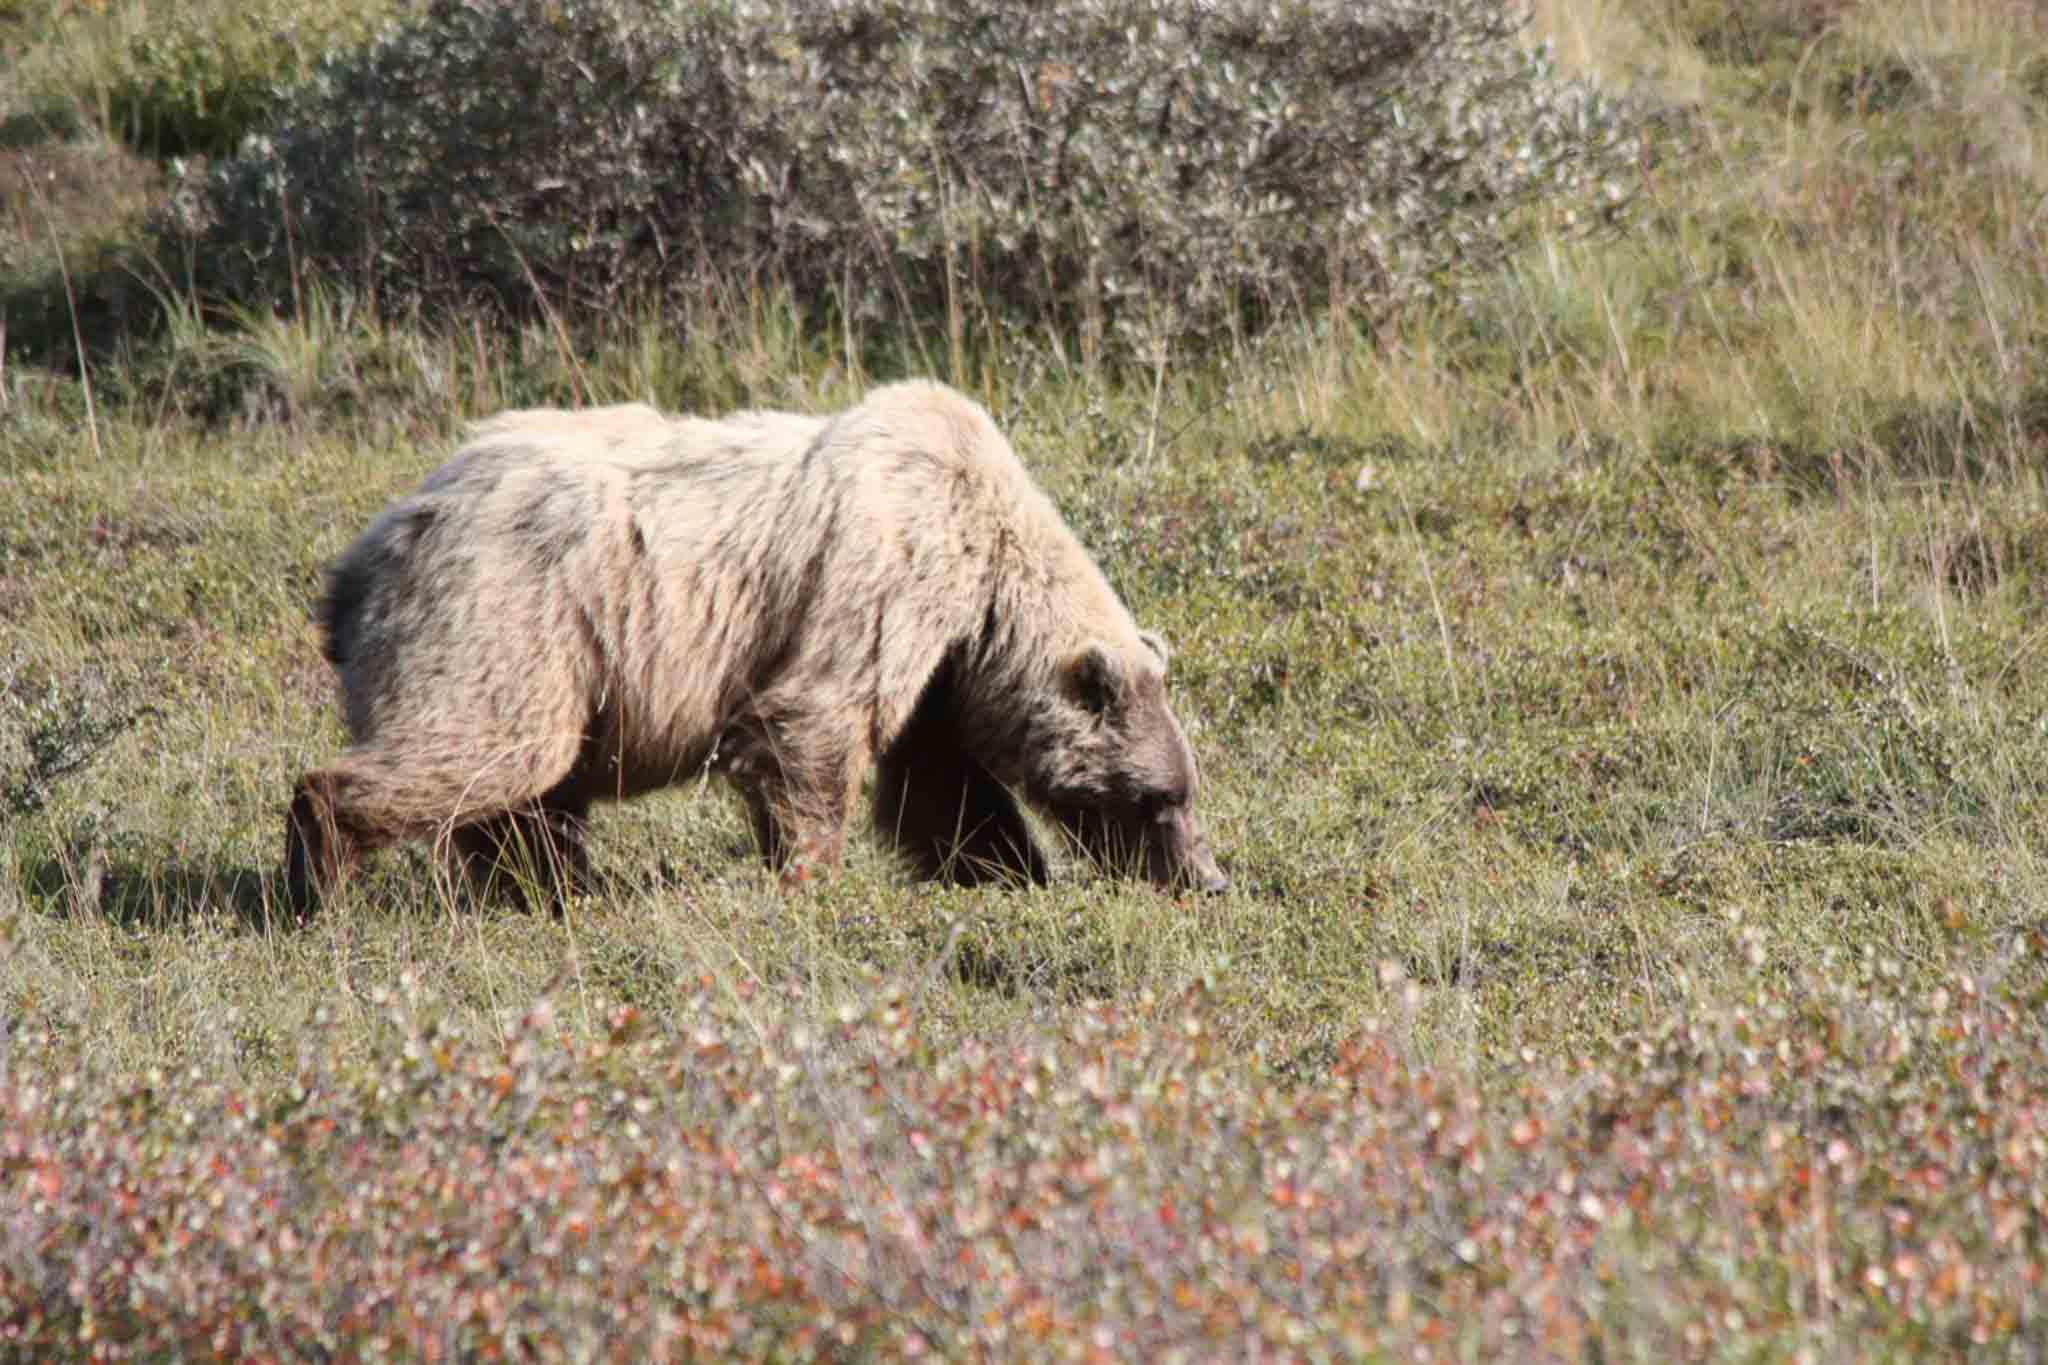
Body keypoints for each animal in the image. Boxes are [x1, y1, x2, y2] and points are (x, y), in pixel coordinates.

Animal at [283, 379, 1227, 910]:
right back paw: (319, 872)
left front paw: (1004, 871)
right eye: (1160, 798)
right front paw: (809, 878)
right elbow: (810, 724)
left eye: (1183, 790)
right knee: (487, 748)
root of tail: (373, 545)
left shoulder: (941, 666)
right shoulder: (882, 577)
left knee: (527, 799)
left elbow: (945, 787)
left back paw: (552, 889)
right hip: (509, 614)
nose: (1205, 877)